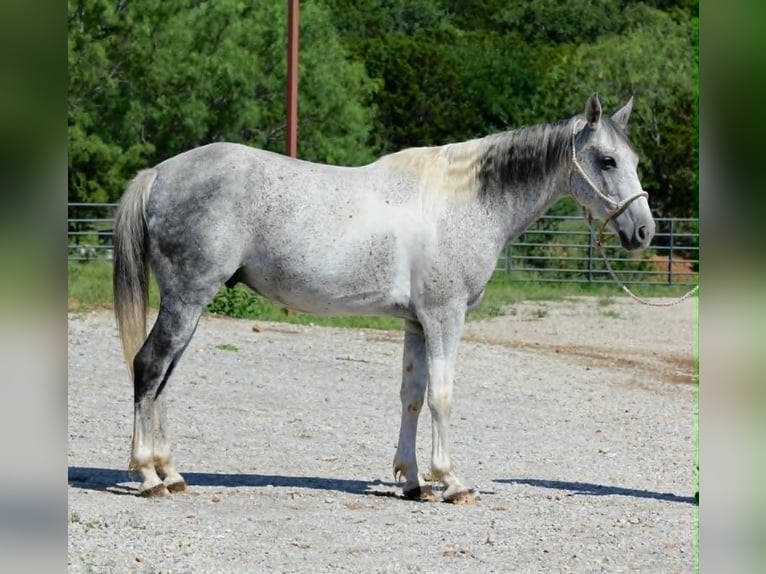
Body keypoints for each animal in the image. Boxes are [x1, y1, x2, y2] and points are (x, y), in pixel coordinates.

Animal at [113, 93, 655, 501]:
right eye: (607, 160)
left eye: (633, 160)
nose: (643, 231)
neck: (462, 202)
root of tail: (159, 173)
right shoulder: (444, 317)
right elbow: (442, 395)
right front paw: (451, 481)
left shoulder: (416, 323)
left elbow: (412, 397)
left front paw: (414, 482)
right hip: (186, 300)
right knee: (149, 367)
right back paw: (147, 475)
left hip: (189, 306)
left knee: (162, 378)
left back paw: (171, 472)